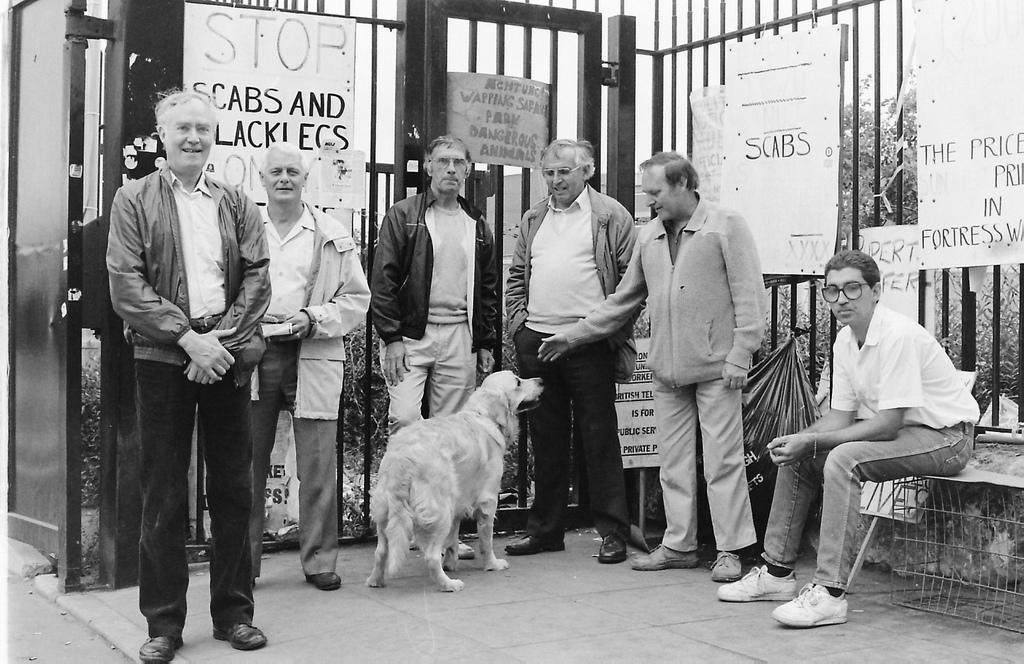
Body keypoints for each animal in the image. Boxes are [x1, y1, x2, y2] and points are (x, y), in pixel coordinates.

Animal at [366, 370, 544, 594]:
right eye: (518, 382)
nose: (541, 380)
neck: (483, 415)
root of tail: (403, 459)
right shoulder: (488, 500)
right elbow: (486, 540)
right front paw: (492, 564)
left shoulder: (459, 502)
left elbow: (452, 539)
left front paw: (451, 562)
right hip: (440, 511)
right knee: (431, 556)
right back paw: (449, 584)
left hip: (385, 512)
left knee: (380, 552)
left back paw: (375, 581)